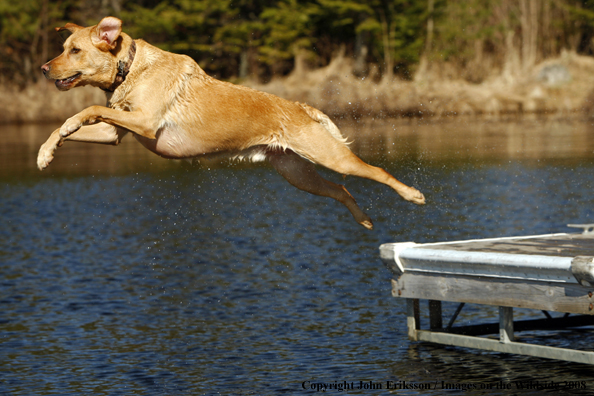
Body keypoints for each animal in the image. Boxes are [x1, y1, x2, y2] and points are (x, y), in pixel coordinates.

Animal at [38, 17, 426, 230]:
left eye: (74, 51)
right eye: (64, 47)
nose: (43, 68)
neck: (129, 67)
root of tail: (303, 108)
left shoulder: (145, 122)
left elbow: (87, 107)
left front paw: (67, 128)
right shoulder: (113, 133)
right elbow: (72, 124)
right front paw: (47, 152)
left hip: (330, 157)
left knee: (376, 171)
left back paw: (413, 194)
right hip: (297, 174)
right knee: (342, 190)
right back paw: (364, 220)